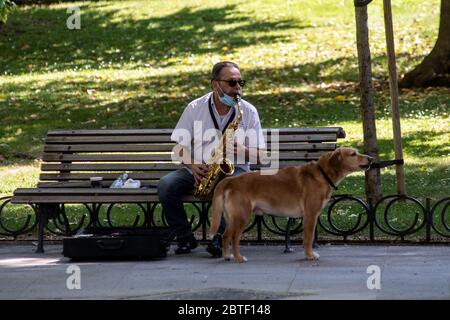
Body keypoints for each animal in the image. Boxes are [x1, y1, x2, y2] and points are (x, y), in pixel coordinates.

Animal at [211, 148, 372, 262]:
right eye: (353, 154)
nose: (371, 158)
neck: (323, 174)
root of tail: (230, 180)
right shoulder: (310, 215)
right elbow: (308, 238)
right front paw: (309, 255)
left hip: (231, 218)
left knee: (225, 236)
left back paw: (227, 256)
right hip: (242, 217)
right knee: (234, 238)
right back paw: (238, 257)